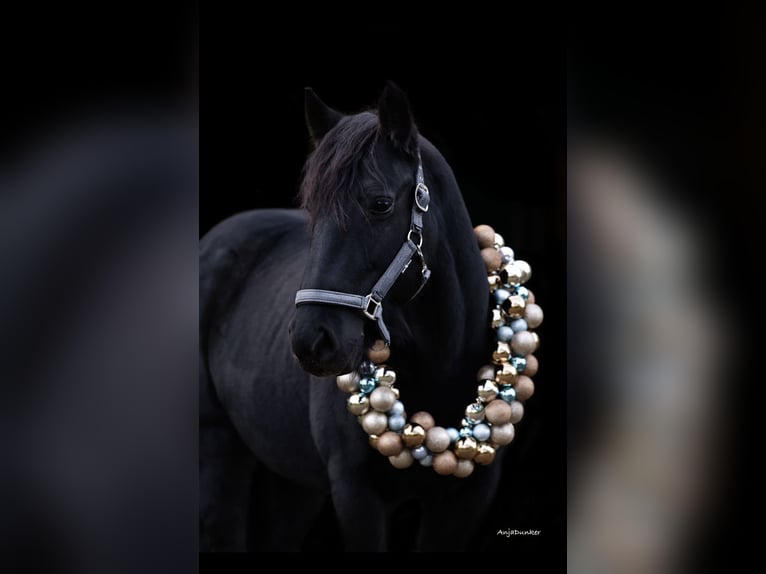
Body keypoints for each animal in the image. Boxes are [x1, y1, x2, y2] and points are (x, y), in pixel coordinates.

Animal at [200, 84, 507, 551]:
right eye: (312, 209)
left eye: (380, 204)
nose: (312, 341)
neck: (440, 367)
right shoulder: (355, 495)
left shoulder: (467, 500)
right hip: (219, 452)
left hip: (292, 481)